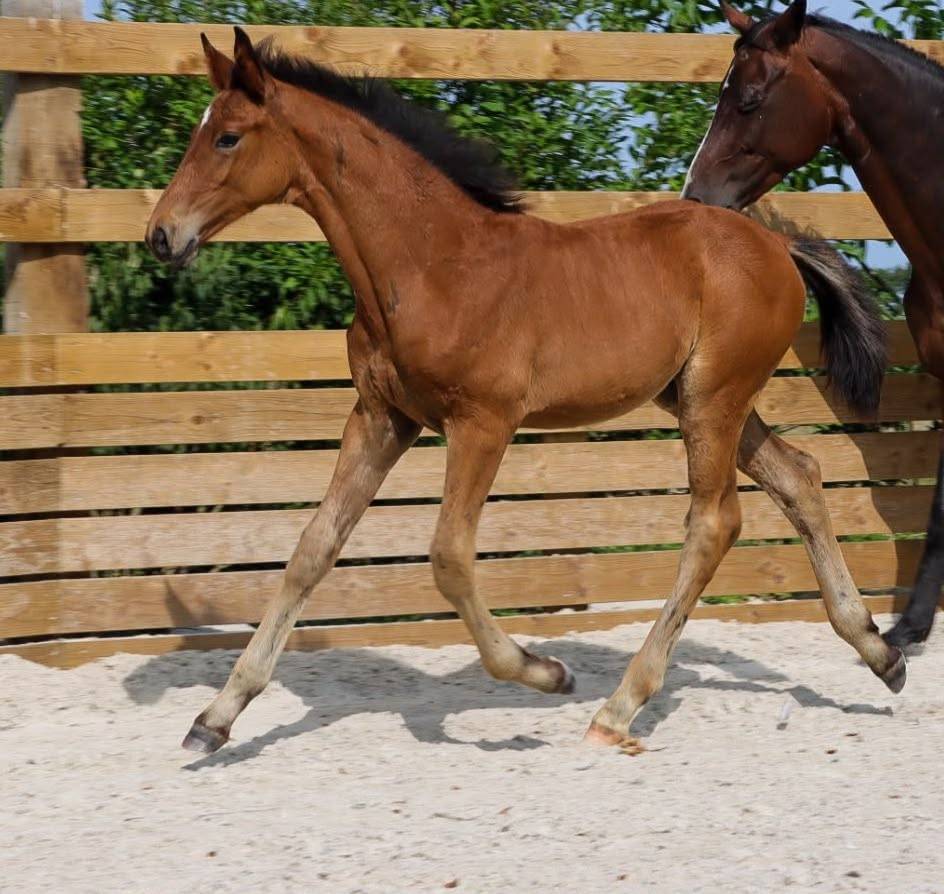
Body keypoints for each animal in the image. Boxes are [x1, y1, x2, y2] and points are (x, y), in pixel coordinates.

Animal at [146, 27, 904, 754]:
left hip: (713, 399)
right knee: (798, 475)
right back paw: (881, 651)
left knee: (715, 522)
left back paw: (617, 707)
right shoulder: (381, 418)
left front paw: (544, 672)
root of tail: (778, 246)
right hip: (702, 397)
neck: (431, 264)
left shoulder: (484, 422)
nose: (161, 234)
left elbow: (449, 557)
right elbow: (312, 550)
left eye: (227, 136)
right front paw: (214, 718)